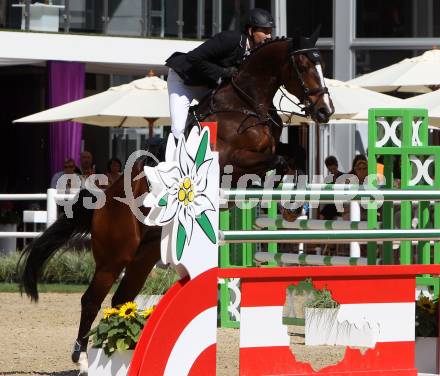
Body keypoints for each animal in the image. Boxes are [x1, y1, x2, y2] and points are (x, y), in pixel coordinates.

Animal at [17, 29, 334, 370]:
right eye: (304, 65)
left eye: (322, 65)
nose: (325, 111)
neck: (247, 102)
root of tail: (104, 201)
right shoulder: (231, 160)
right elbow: (278, 159)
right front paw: (284, 202)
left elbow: (295, 154)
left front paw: (291, 207)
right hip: (114, 256)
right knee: (92, 299)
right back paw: (82, 356)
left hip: (143, 255)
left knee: (121, 299)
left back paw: (126, 351)